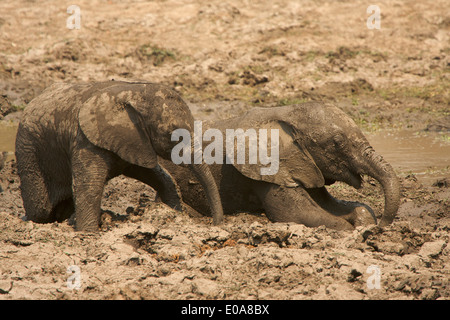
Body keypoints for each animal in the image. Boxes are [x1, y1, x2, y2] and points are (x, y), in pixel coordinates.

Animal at [15, 80, 223, 230]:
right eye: (172, 135)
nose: (217, 224)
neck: (136, 91)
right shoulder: (84, 140)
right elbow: (88, 186)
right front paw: (87, 233)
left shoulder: (134, 140)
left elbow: (158, 176)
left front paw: (174, 212)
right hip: (28, 147)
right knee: (40, 208)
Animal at [156, 102, 400, 230]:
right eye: (337, 143)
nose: (384, 225)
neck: (287, 113)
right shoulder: (266, 171)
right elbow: (300, 214)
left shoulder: (304, 165)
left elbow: (333, 206)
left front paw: (367, 223)